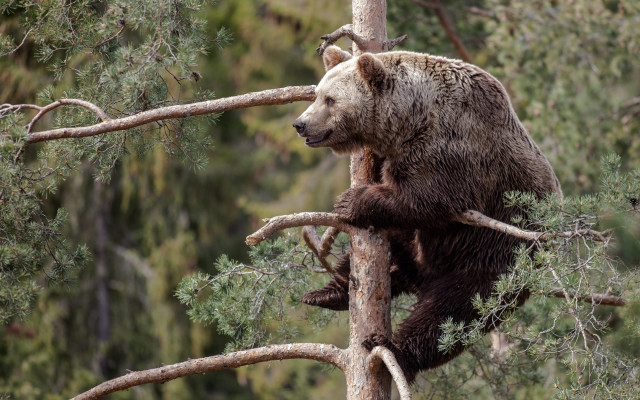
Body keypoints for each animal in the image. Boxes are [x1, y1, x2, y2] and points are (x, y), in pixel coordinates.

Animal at [292, 45, 562, 383]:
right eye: (317, 94)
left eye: (330, 99)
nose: (300, 124)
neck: (411, 118)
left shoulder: (451, 149)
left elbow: (429, 199)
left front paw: (350, 201)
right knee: (388, 253)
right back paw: (328, 293)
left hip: (498, 254)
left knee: (453, 311)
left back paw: (393, 348)